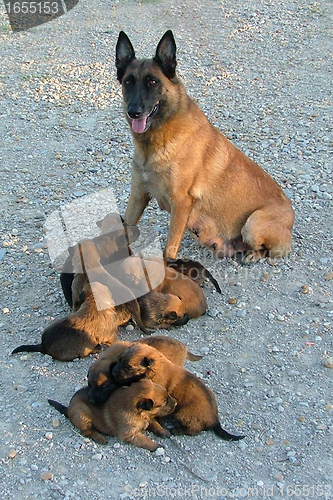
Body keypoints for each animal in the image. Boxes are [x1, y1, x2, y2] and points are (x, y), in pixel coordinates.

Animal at [48, 378, 176, 454]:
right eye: (165, 401)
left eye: (168, 396)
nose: (175, 403)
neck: (138, 412)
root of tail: (69, 408)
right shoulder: (130, 434)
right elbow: (145, 440)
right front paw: (157, 446)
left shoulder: (149, 418)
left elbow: (154, 423)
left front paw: (163, 431)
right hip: (82, 414)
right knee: (87, 431)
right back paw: (100, 437)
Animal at [111, 344, 244, 442]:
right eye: (120, 359)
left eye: (129, 367)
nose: (113, 372)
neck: (156, 369)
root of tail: (215, 420)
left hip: (183, 414)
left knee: (194, 430)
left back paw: (177, 430)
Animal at [115, 29, 292, 262]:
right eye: (128, 82)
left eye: (152, 82)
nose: (134, 111)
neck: (158, 139)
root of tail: (291, 216)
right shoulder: (138, 194)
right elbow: (124, 228)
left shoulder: (181, 203)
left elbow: (169, 248)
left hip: (253, 225)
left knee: (268, 250)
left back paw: (254, 254)